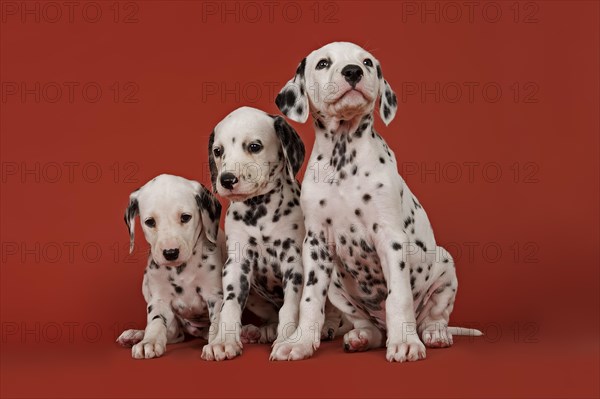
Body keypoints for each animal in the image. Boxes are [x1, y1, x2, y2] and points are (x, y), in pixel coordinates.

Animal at [116, 174, 224, 360]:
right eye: (150, 222)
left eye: (185, 217)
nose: (171, 252)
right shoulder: (159, 299)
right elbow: (156, 321)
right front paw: (149, 341)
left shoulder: (215, 297)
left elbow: (218, 323)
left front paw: (217, 343)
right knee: (174, 334)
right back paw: (136, 335)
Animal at [202, 106, 344, 362]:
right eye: (218, 151)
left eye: (254, 146)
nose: (226, 179)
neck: (258, 213)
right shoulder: (236, 264)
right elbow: (230, 306)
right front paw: (223, 341)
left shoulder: (293, 264)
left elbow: (290, 307)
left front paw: (286, 339)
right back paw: (263, 330)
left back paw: (327, 326)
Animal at [272, 43, 482, 362]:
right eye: (323, 63)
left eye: (367, 62)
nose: (353, 71)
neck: (343, 157)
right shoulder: (316, 243)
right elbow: (309, 301)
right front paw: (300, 342)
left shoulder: (390, 238)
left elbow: (399, 298)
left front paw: (405, 343)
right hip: (337, 286)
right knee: (368, 328)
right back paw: (360, 337)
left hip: (446, 268)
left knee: (433, 317)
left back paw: (433, 334)